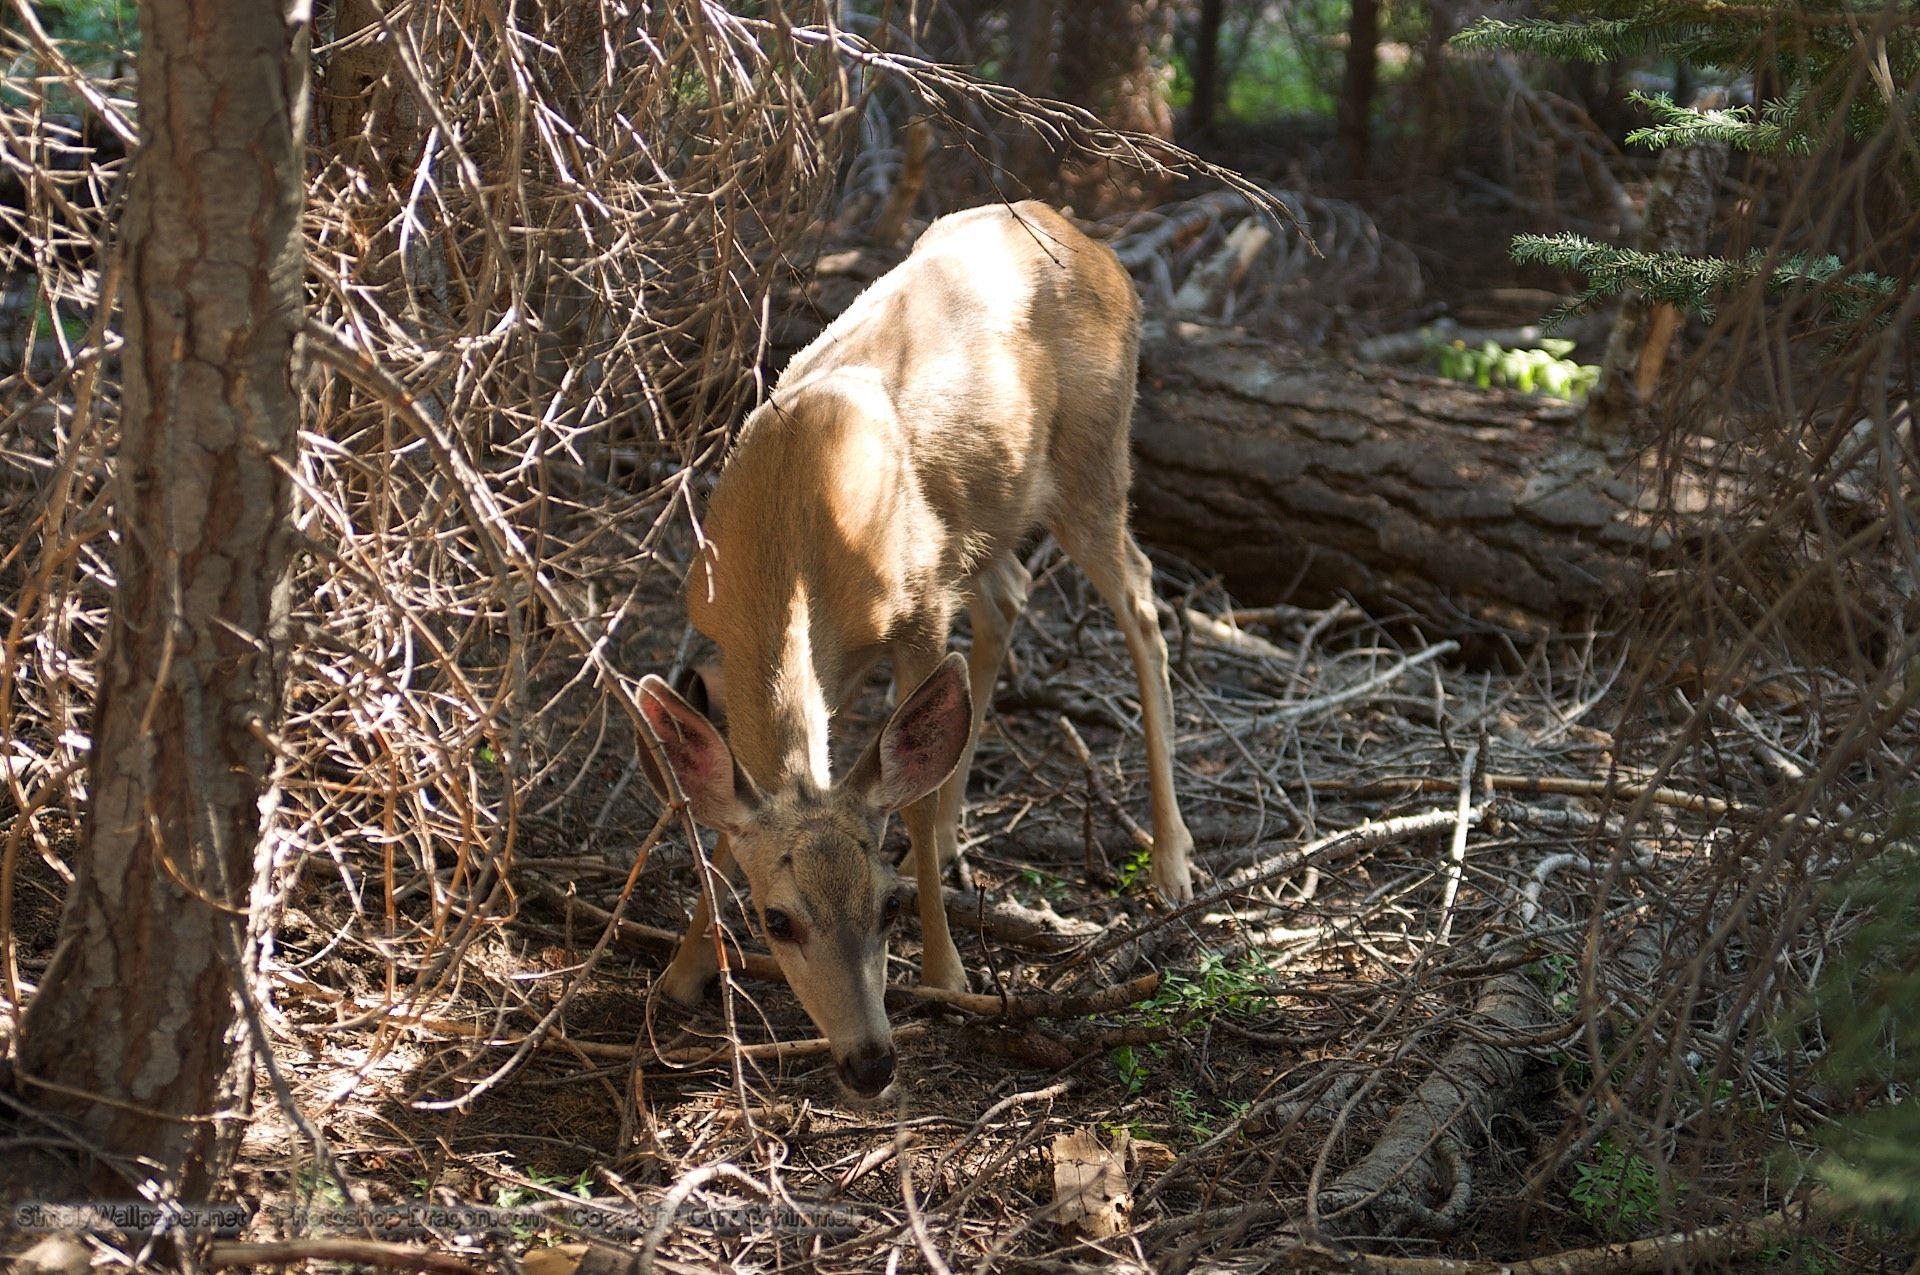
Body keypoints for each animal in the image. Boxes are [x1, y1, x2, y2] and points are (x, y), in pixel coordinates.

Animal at [637, 199, 1190, 1098]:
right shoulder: (768, 641)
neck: (795, 532)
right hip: (990, 512)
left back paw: (1173, 862)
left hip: (1093, 460)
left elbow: (910, 798)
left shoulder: (921, 604)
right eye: (776, 918)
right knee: (1011, 598)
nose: (869, 1061)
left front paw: (947, 973)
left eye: (887, 905)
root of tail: (1089, 240)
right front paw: (681, 975)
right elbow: (735, 800)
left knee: (1142, 603)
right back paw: (970, 833)